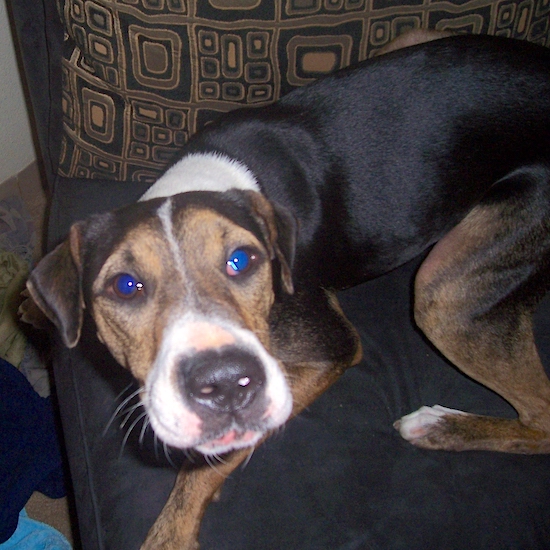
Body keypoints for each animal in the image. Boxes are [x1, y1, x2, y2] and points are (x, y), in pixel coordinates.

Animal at [23, 34, 550, 550]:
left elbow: (207, 463)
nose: (223, 382)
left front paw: (171, 534)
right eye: (125, 287)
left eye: (242, 260)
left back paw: (439, 427)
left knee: (541, 417)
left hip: (443, 294)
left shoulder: (329, 349)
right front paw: (33, 304)